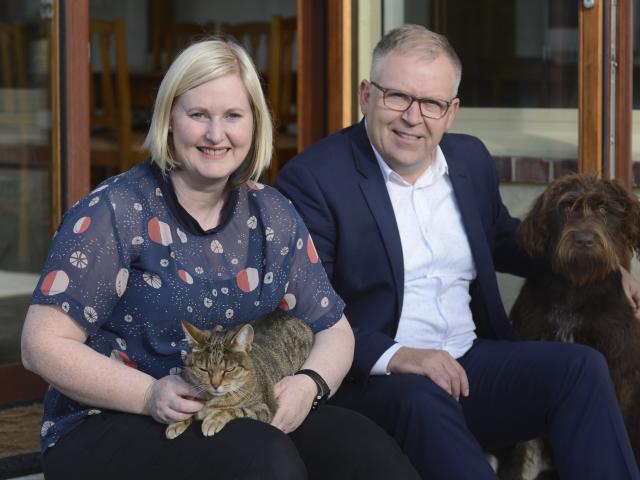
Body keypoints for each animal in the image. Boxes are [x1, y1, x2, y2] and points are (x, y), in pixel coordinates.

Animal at [166, 312, 314, 438]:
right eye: (203, 369)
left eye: (229, 369)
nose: (215, 385)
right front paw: (177, 422)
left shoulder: (265, 409)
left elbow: (236, 410)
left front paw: (214, 419)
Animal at [500, 174, 640, 478]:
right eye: (565, 207)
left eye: (603, 208)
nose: (584, 240)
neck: (575, 285)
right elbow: (520, 446)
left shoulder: (617, 364)